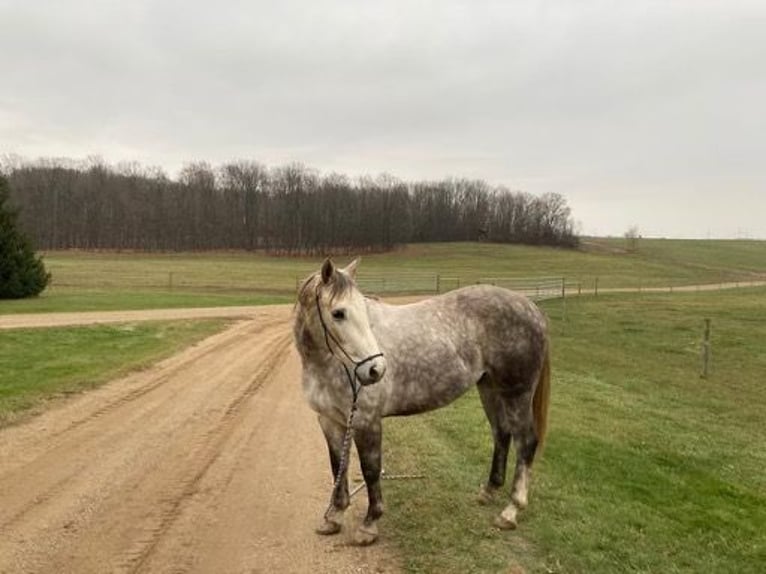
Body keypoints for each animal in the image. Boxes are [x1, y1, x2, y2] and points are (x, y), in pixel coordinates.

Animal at [294, 258, 552, 548]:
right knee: (502, 434)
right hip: (490, 389)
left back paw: (511, 510)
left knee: (526, 442)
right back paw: (488, 491)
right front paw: (334, 517)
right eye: (338, 313)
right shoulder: (330, 421)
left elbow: (371, 470)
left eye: (364, 309)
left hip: (517, 393)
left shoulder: (366, 421)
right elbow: (338, 466)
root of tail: (529, 306)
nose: (375, 370)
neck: (330, 363)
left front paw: (369, 524)